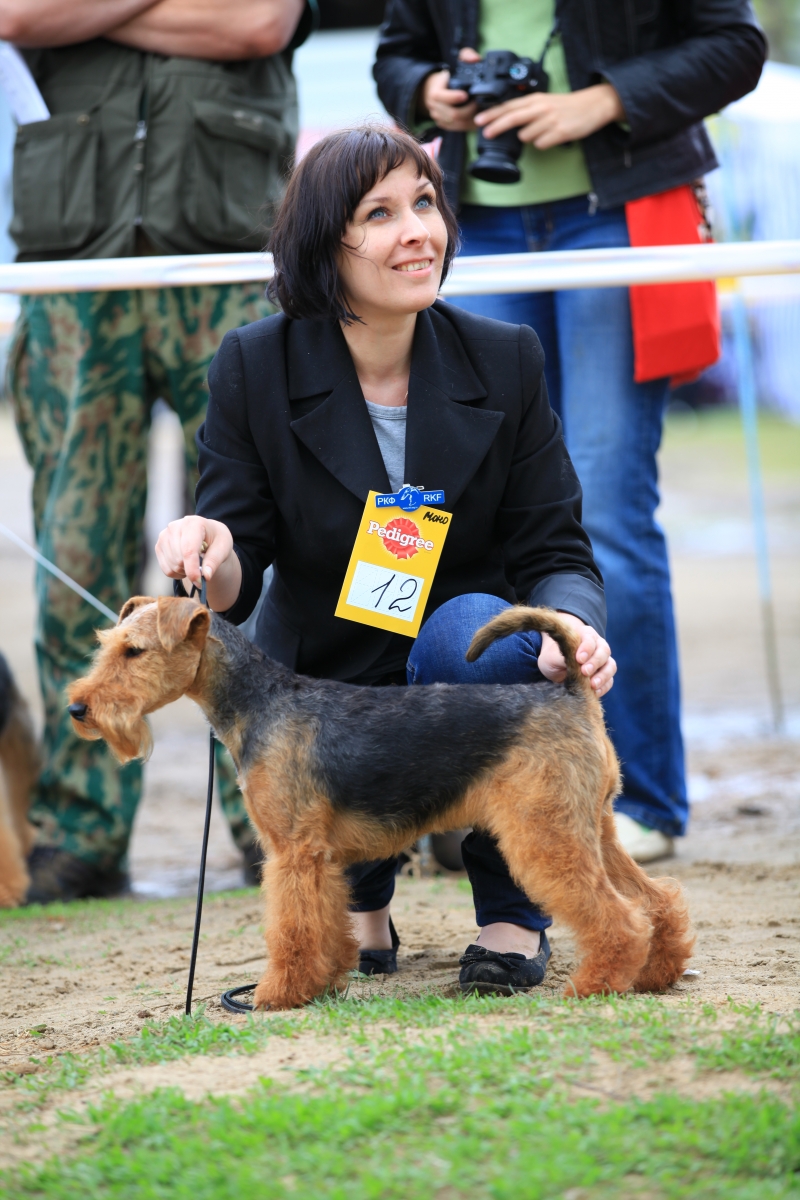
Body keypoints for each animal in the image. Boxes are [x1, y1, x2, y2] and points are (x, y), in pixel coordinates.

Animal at [67, 595, 695, 1008]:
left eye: (134, 651)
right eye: (110, 646)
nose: (78, 709)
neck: (258, 702)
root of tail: (571, 691)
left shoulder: (291, 852)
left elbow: (289, 930)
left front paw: (276, 994)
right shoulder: (317, 857)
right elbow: (325, 923)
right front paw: (324, 982)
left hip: (546, 833)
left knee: (618, 915)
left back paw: (594, 985)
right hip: (593, 826)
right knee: (657, 901)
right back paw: (657, 974)